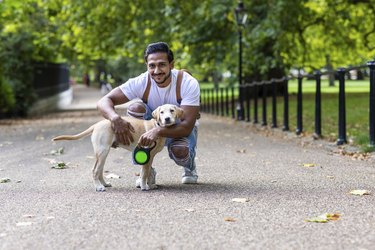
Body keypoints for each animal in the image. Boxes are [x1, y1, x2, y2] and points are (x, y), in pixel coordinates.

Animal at [52, 103, 184, 191]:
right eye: (162, 112)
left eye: (172, 110)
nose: (167, 119)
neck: (157, 126)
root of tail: (96, 125)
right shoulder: (148, 154)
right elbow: (145, 173)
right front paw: (144, 186)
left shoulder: (150, 157)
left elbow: (146, 172)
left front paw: (149, 184)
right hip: (102, 151)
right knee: (95, 170)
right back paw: (99, 187)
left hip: (103, 153)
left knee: (100, 170)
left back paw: (104, 184)